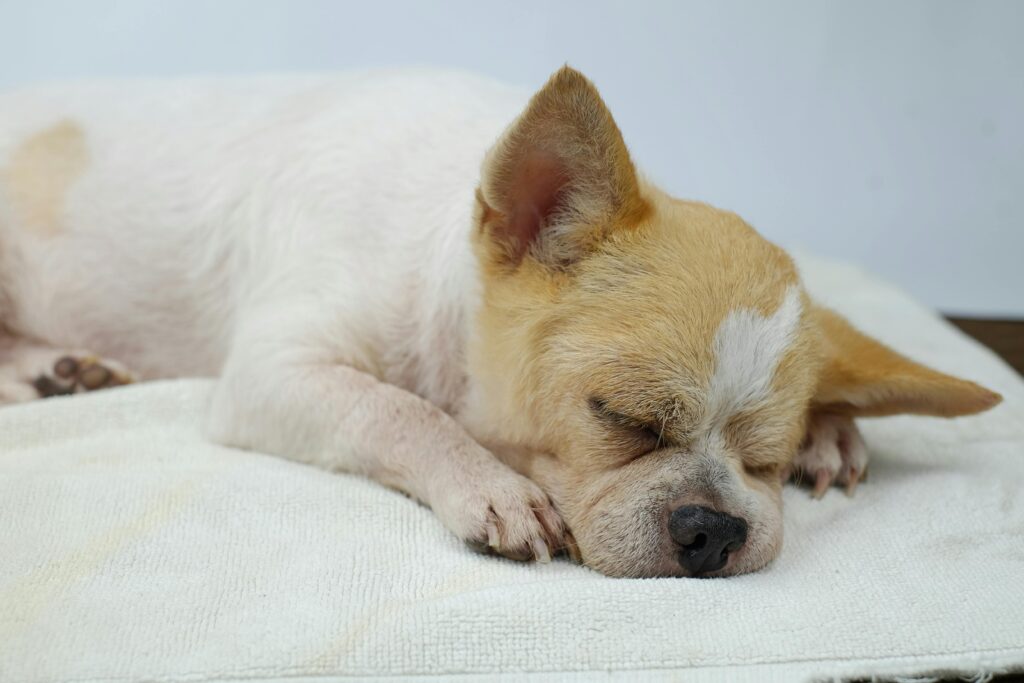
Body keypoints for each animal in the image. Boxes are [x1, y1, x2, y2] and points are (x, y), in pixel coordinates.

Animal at [0, 66, 1001, 577]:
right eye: (620, 419)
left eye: (762, 460)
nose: (714, 527)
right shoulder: (274, 373)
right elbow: (398, 407)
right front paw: (490, 485)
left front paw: (832, 427)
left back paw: (61, 369)